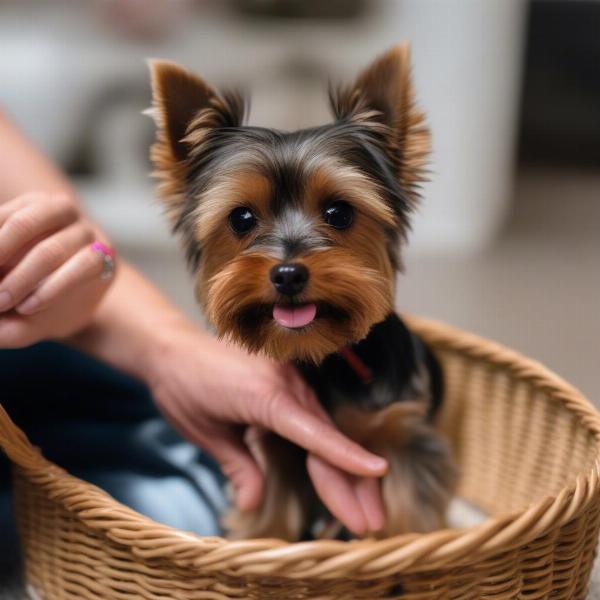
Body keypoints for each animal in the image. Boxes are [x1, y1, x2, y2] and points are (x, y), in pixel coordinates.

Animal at [149, 43, 454, 540]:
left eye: (339, 212)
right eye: (241, 218)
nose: (288, 274)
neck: (320, 355)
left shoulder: (404, 437)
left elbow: (408, 520)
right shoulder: (277, 444)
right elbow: (269, 516)